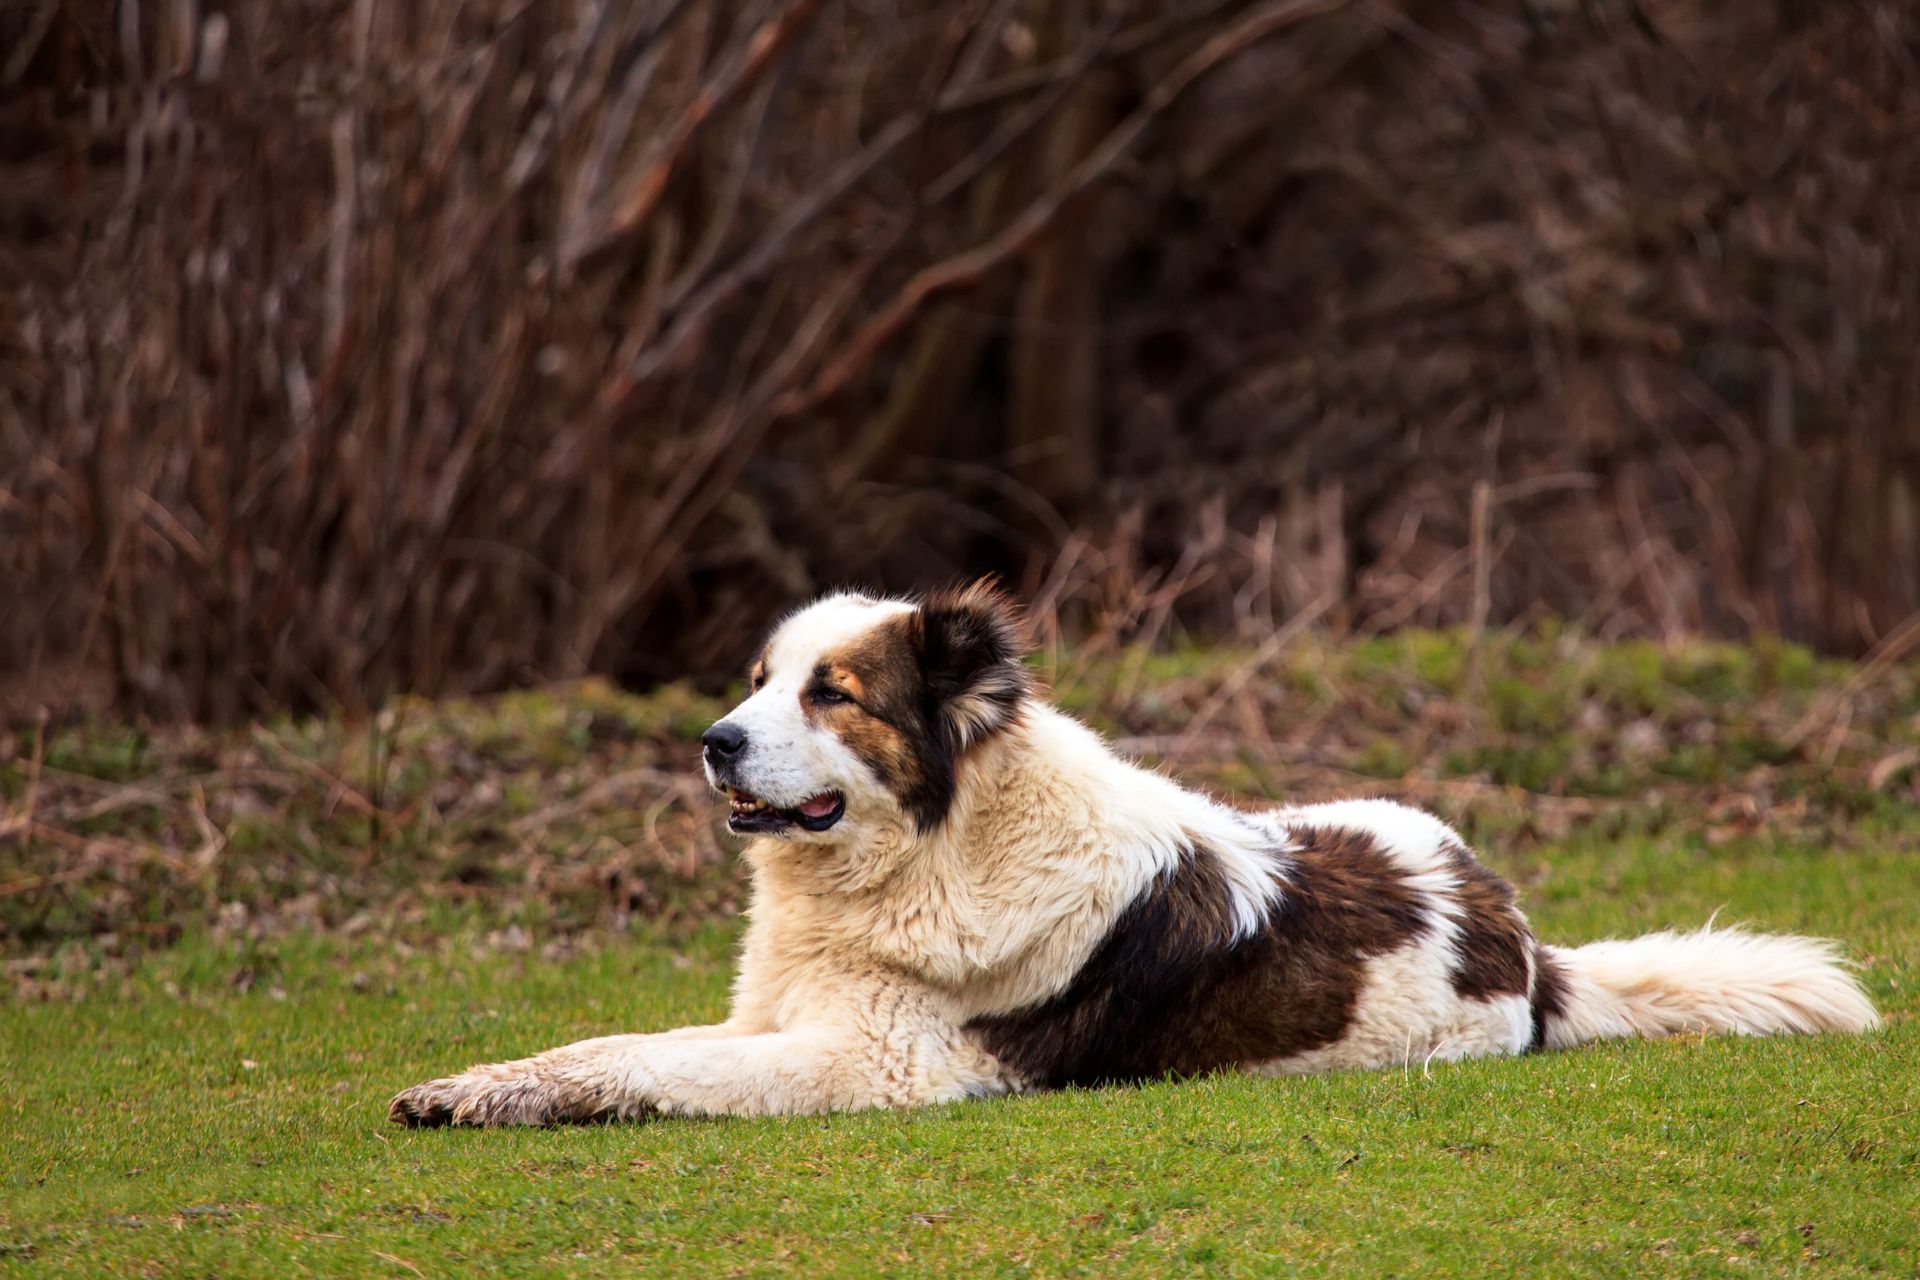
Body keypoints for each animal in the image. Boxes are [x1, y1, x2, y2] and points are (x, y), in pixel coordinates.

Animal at [385, 587, 1873, 1128]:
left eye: (833, 694)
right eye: (758, 680)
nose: (711, 741)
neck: (939, 849)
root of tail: (1522, 939)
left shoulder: (873, 1062)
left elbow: (653, 1064)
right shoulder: (780, 1017)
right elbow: (605, 1042)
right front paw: (484, 1084)